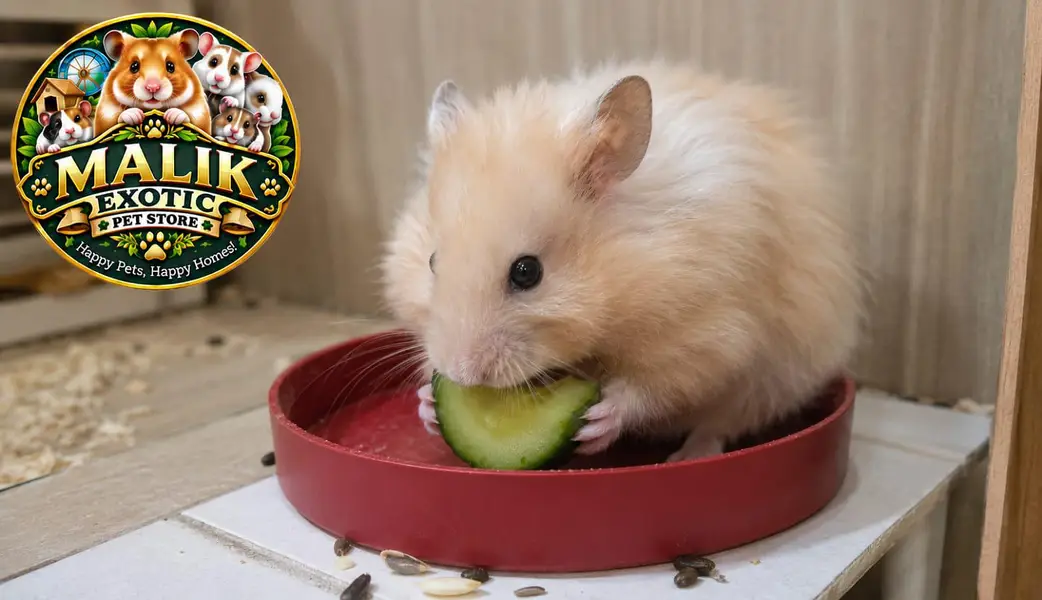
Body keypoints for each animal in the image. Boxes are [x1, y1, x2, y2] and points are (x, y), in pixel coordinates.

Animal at [380, 61, 863, 463]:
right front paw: (428, 405)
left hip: (774, 379)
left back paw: (686, 457)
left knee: (721, 424)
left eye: (527, 272)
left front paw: (598, 423)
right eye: (432, 261)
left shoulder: (702, 335)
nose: (462, 374)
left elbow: (651, 388)